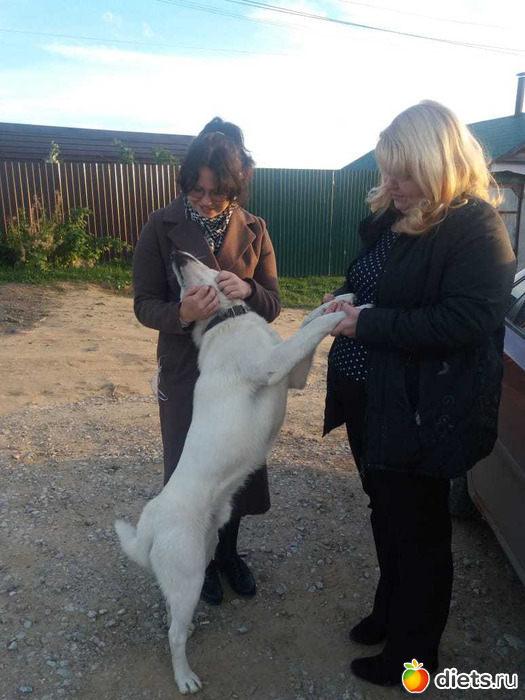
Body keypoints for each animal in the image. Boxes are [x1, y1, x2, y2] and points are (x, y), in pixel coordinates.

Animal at [115, 250, 354, 694]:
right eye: (181, 286)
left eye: (200, 263)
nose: (176, 254)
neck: (226, 318)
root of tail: (151, 522)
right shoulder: (274, 366)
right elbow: (309, 332)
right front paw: (345, 313)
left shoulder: (294, 376)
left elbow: (309, 322)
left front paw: (340, 299)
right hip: (190, 574)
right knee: (173, 636)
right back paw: (185, 677)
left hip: (199, 558)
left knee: (172, 613)